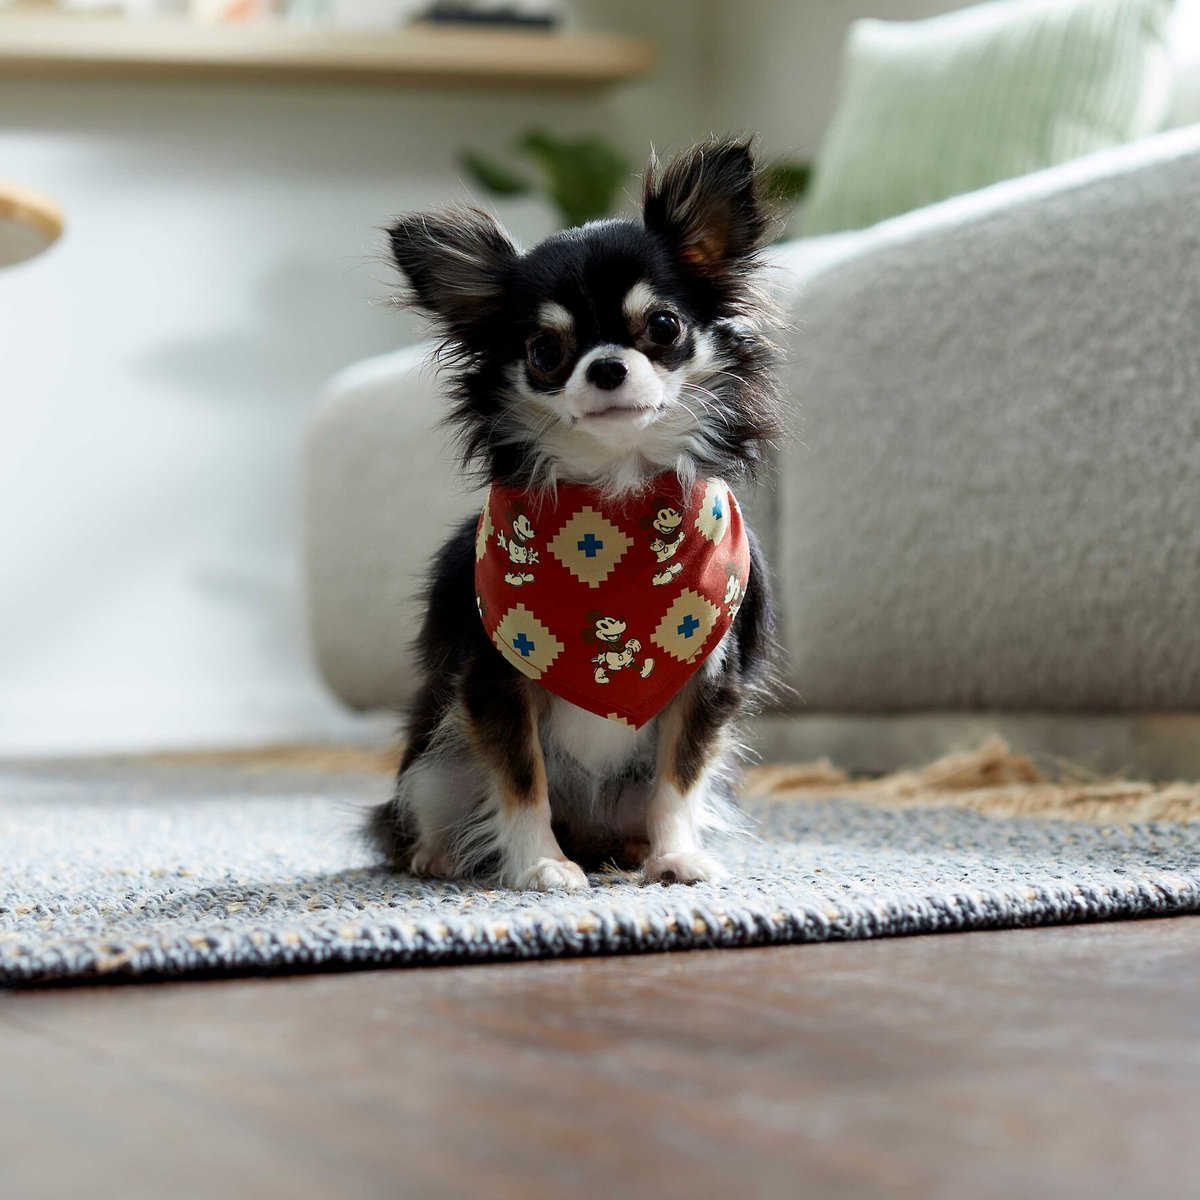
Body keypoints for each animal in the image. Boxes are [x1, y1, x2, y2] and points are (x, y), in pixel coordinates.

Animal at [369, 138, 782, 892]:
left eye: (664, 327)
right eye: (545, 352)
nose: (607, 367)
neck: (614, 508)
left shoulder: (706, 682)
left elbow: (677, 782)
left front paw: (675, 856)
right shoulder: (494, 685)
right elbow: (521, 781)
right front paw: (540, 866)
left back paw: (633, 850)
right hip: (437, 764)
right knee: (429, 807)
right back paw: (439, 854)